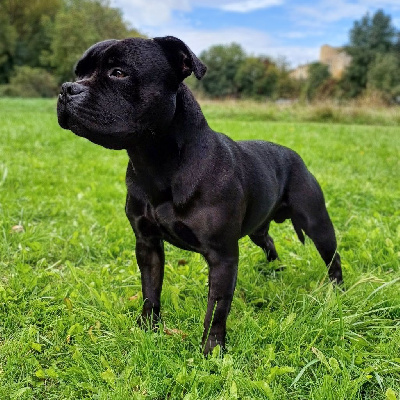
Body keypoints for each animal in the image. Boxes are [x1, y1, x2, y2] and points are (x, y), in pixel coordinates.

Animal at [57, 36, 342, 354]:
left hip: (317, 223)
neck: (157, 164)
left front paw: (212, 350)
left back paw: (337, 292)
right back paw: (274, 271)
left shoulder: (222, 255)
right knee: (268, 241)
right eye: (79, 72)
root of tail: (295, 155)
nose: (67, 88)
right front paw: (146, 329)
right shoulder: (147, 244)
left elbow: (216, 308)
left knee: (333, 258)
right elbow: (150, 290)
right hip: (258, 228)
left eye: (118, 72)